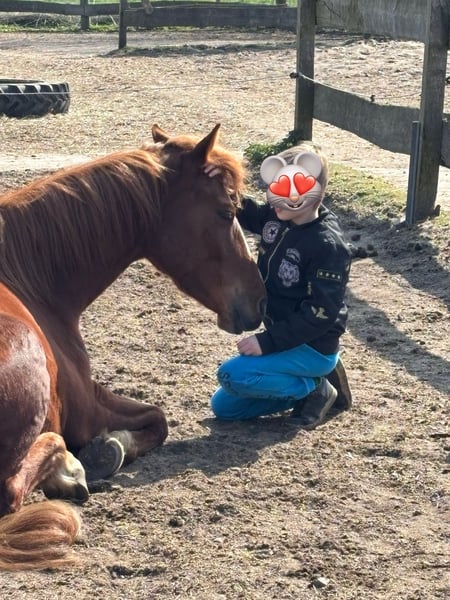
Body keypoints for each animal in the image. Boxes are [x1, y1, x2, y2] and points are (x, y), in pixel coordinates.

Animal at [0, 124, 266, 570]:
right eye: (226, 213)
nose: (260, 301)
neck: (30, 278)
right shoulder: (86, 412)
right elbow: (158, 419)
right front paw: (108, 449)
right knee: (17, 485)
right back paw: (69, 470)